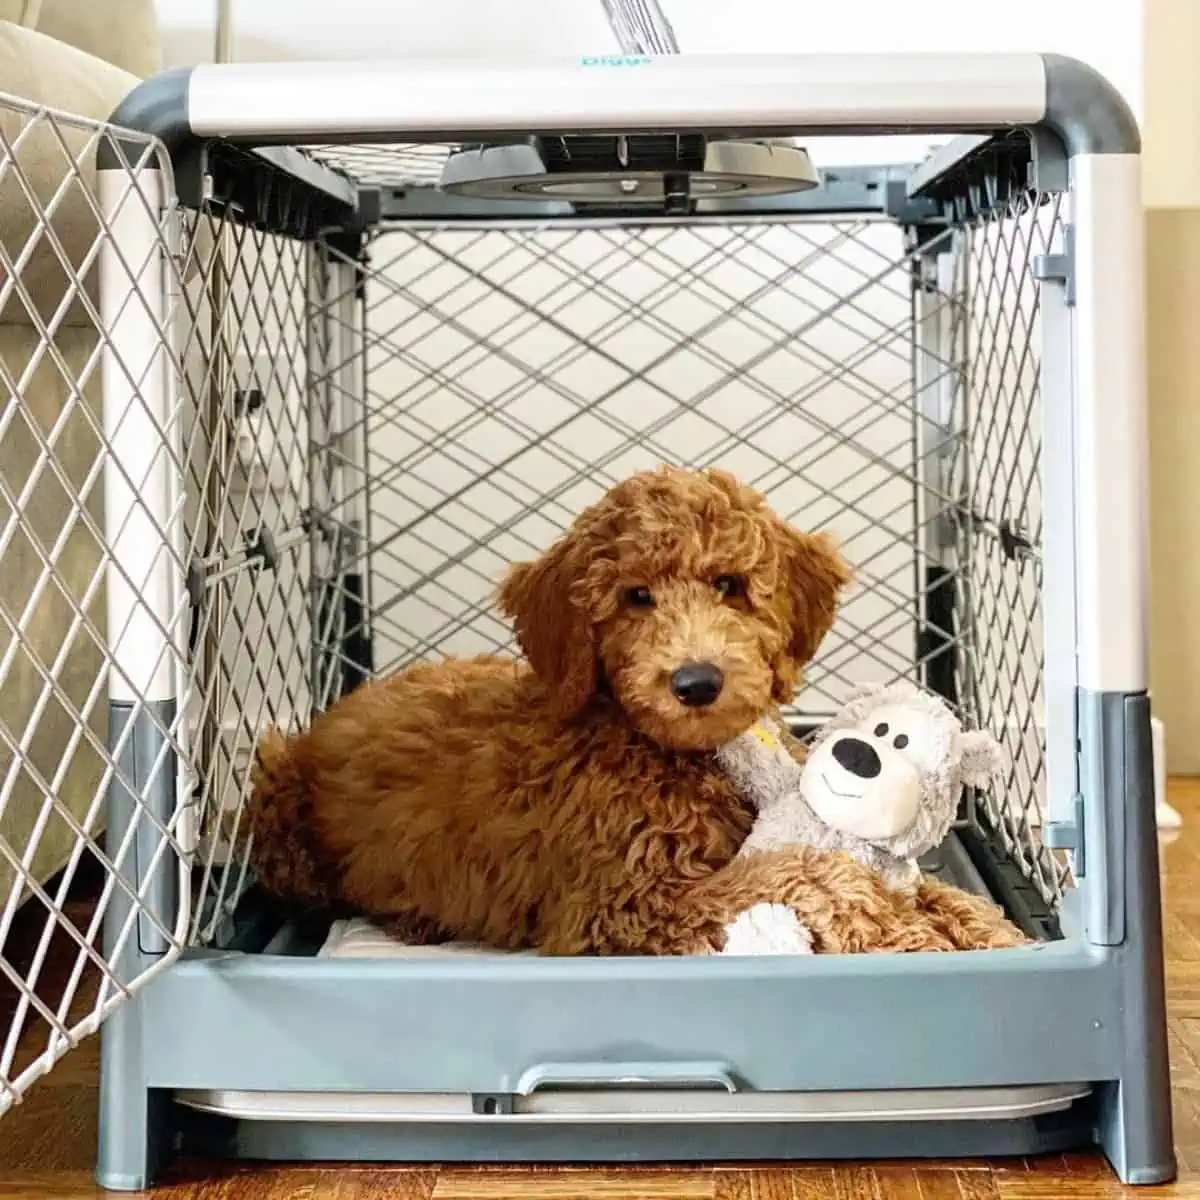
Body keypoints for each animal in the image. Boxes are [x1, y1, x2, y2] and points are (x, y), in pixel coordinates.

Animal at [248, 468, 1027, 955]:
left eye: (729, 584)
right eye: (636, 597)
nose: (696, 682)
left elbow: (929, 886)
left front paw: (986, 928)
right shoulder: (630, 901)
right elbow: (802, 871)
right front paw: (907, 932)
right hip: (273, 792)